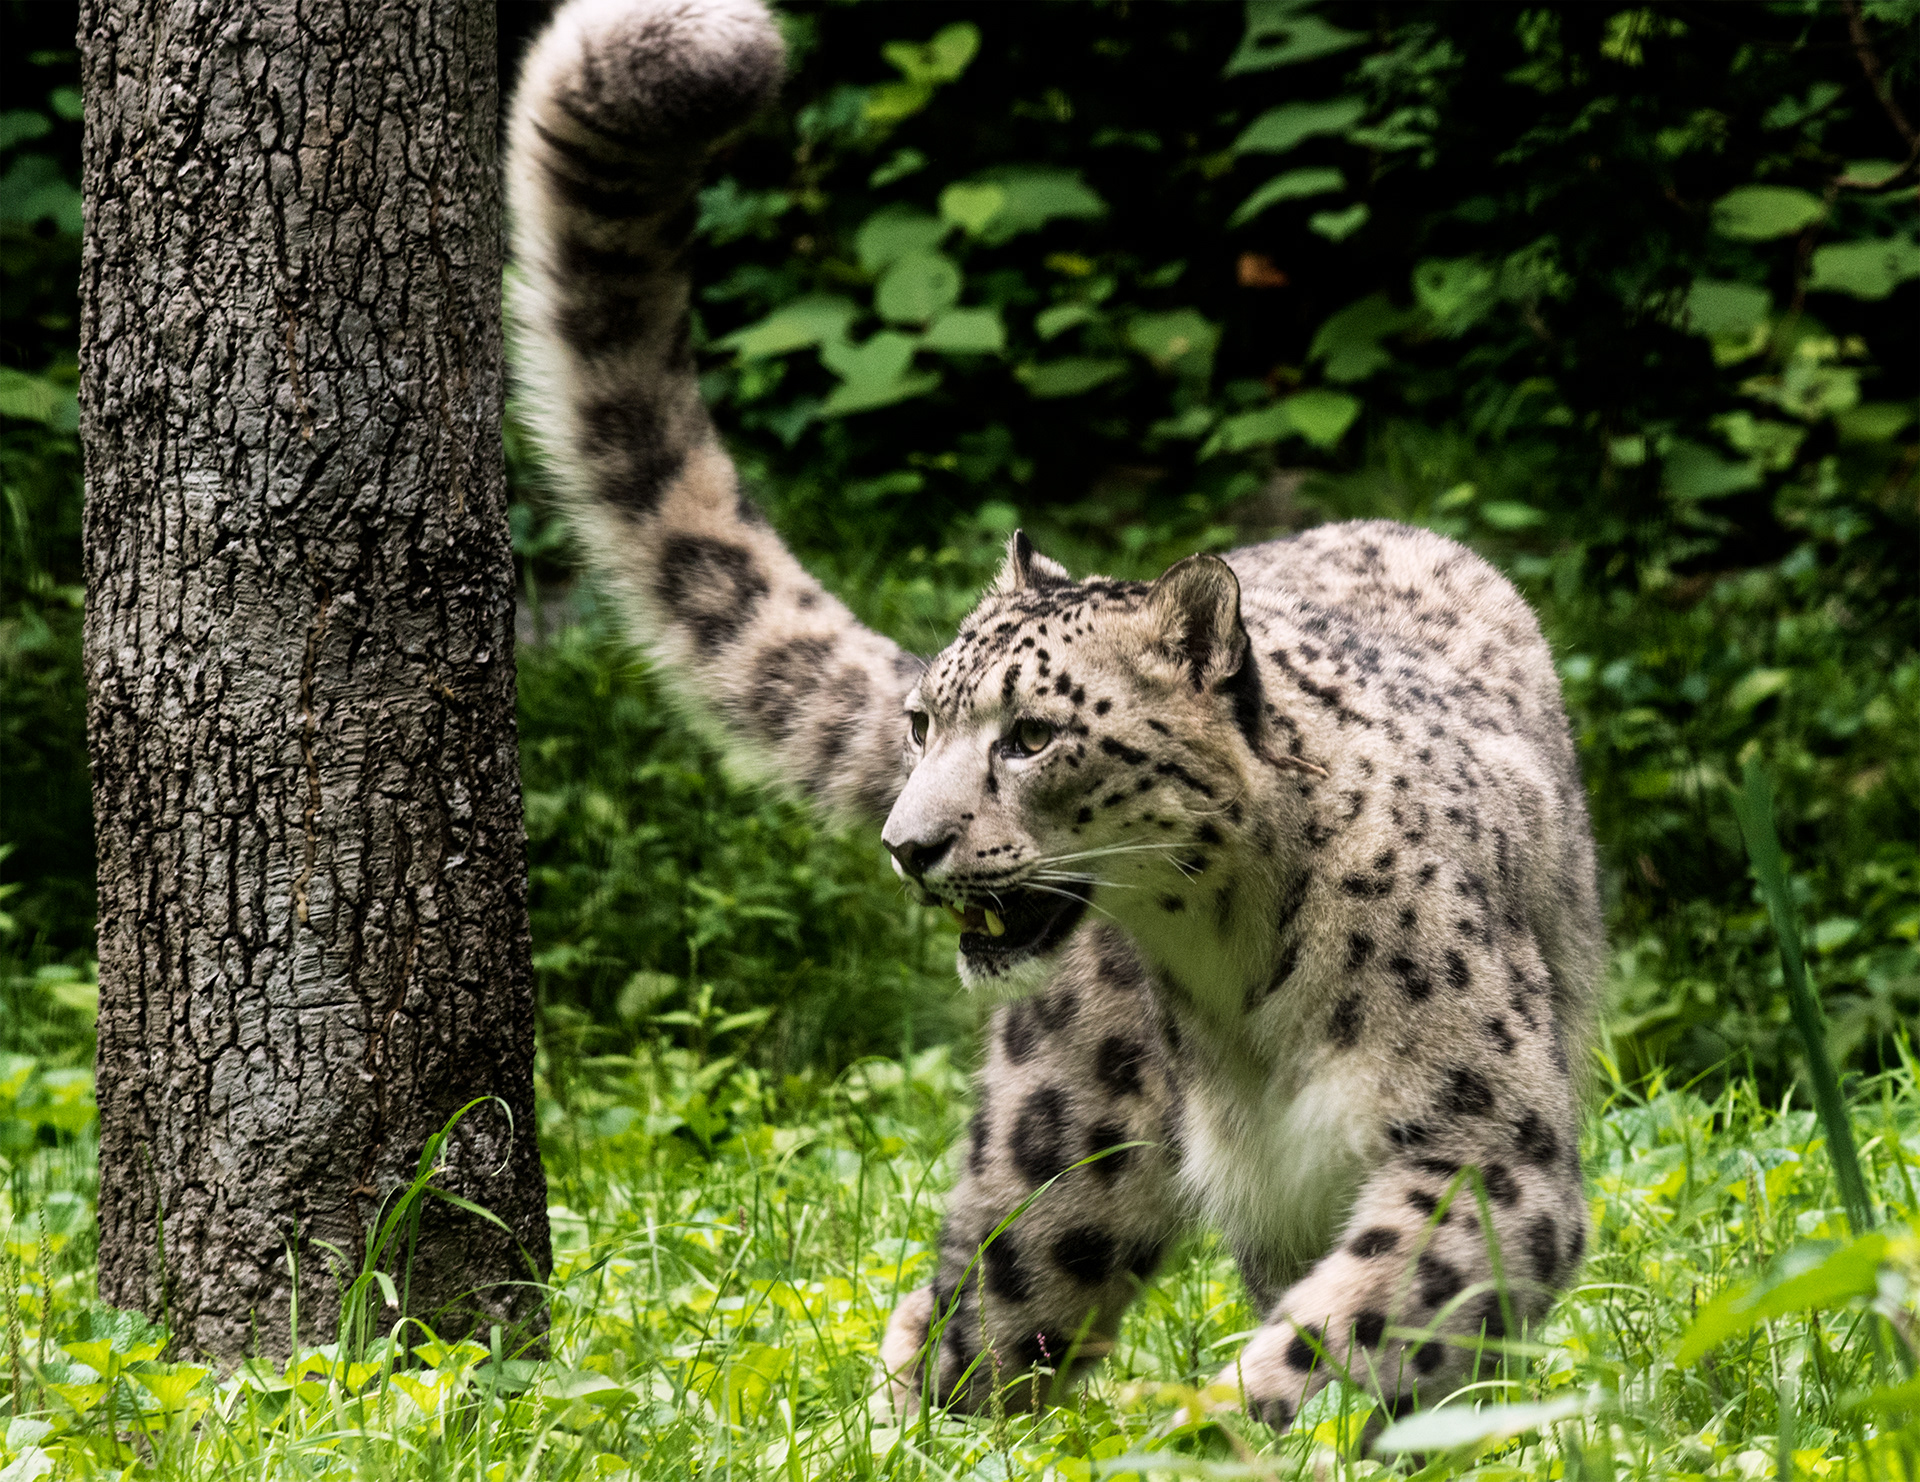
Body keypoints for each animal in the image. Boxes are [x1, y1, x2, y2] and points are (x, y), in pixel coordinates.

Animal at [507, 0, 1604, 1433]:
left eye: (1031, 735)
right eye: (924, 723)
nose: (908, 845)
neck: (1239, 976)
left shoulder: (1484, 1151)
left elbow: (1353, 1327)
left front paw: (1218, 1427)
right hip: (1061, 1137)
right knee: (975, 1311)